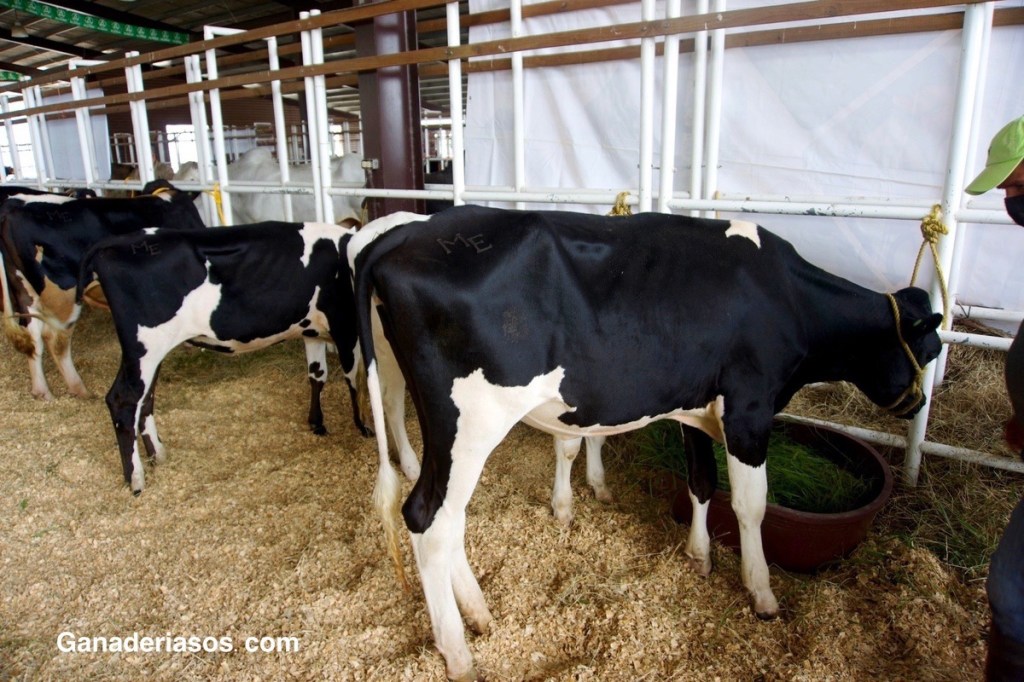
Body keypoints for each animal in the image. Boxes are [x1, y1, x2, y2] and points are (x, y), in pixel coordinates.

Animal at [0, 180, 205, 400]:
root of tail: (11, 210)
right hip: (64, 295)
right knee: (55, 340)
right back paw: (80, 389)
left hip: (25, 293)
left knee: (33, 338)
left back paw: (43, 392)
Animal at [75, 213, 423, 494]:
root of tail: (117, 242)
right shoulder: (345, 325)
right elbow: (353, 377)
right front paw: (362, 426)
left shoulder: (311, 330)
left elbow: (317, 375)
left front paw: (317, 423)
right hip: (145, 347)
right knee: (122, 400)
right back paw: (135, 479)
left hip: (150, 353)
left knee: (144, 400)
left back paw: (158, 454)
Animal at [351, 205, 943, 681]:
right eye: (930, 350)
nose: (917, 405)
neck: (786, 297)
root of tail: (405, 234)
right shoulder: (749, 408)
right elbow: (751, 505)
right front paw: (761, 591)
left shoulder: (697, 405)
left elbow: (703, 482)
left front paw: (700, 556)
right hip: (469, 423)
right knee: (429, 519)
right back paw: (458, 653)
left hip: (447, 427)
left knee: (448, 520)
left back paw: (478, 613)